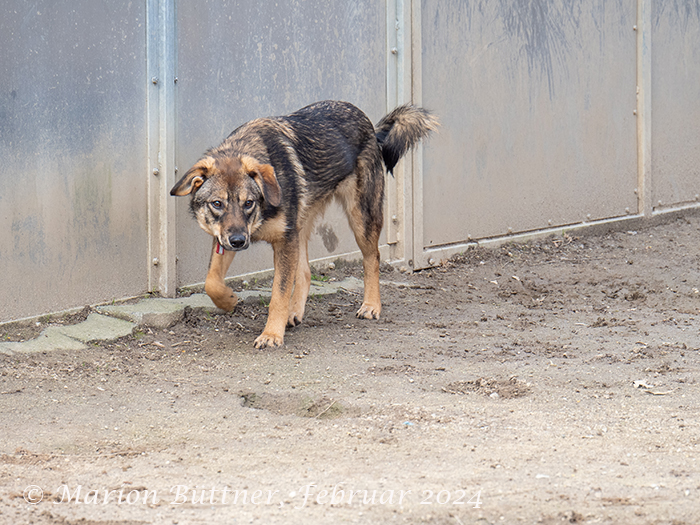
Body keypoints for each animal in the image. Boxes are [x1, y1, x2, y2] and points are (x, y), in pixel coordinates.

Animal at [170, 100, 438, 348]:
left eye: (248, 203)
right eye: (217, 204)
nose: (238, 241)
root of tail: (371, 126)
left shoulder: (283, 240)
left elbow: (278, 293)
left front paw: (271, 335)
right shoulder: (227, 238)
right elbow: (211, 282)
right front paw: (229, 300)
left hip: (361, 218)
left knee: (373, 258)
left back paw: (371, 306)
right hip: (301, 228)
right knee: (306, 272)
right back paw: (294, 312)